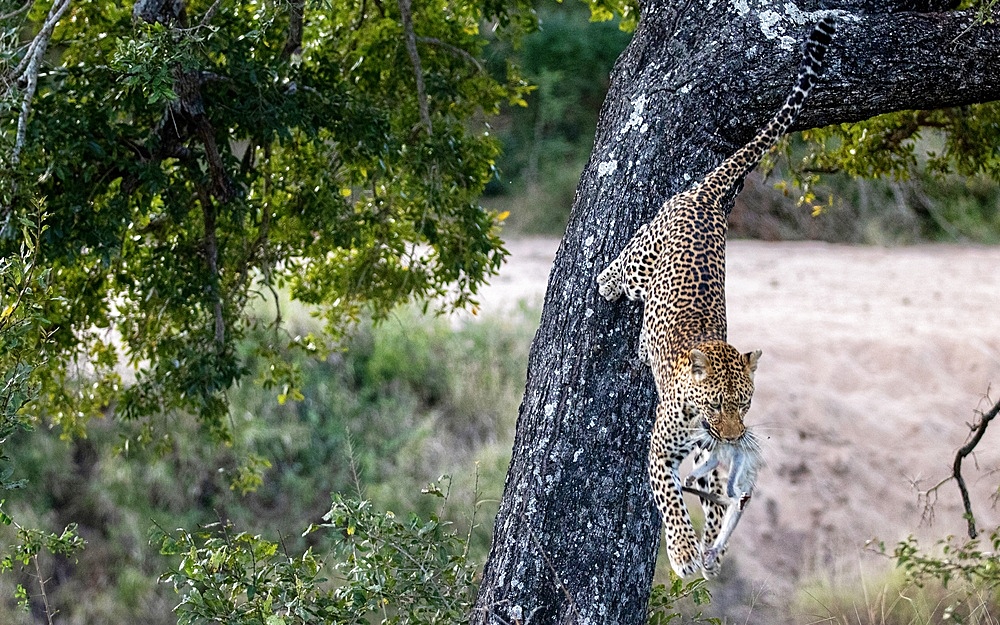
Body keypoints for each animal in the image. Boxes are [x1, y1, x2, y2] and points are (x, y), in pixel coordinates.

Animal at [592, 17, 836, 576]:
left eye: (746, 402)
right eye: (719, 402)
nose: (731, 437)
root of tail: (706, 197)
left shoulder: (706, 460)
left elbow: (711, 491)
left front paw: (710, 544)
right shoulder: (661, 451)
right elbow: (670, 497)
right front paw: (684, 552)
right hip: (648, 254)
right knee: (625, 264)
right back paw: (605, 281)